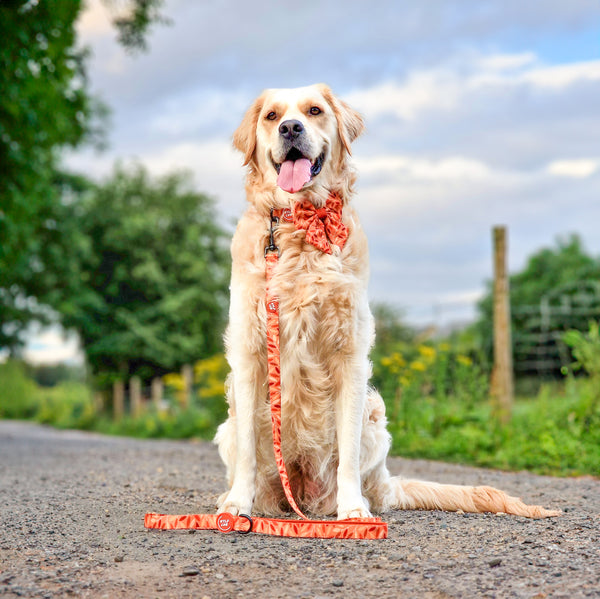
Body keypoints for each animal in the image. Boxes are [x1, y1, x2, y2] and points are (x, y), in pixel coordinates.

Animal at [214, 83, 556, 520]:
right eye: (272, 116)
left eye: (314, 111)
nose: (291, 128)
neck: (301, 224)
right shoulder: (249, 352)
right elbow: (248, 453)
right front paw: (237, 503)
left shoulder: (350, 354)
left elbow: (346, 454)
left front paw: (353, 513)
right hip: (229, 424)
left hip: (375, 415)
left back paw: (354, 501)